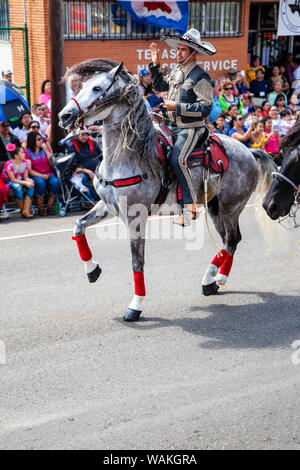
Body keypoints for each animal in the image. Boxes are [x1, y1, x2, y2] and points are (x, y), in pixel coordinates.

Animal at [58, 58, 276, 322]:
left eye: (97, 88)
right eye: (82, 85)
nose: (64, 115)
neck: (129, 156)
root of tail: (249, 151)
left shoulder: (135, 218)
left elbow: (137, 263)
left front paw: (135, 306)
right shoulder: (107, 206)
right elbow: (78, 226)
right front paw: (92, 270)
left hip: (230, 207)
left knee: (232, 240)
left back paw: (210, 279)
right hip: (215, 208)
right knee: (230, 241)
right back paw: (216, 280)